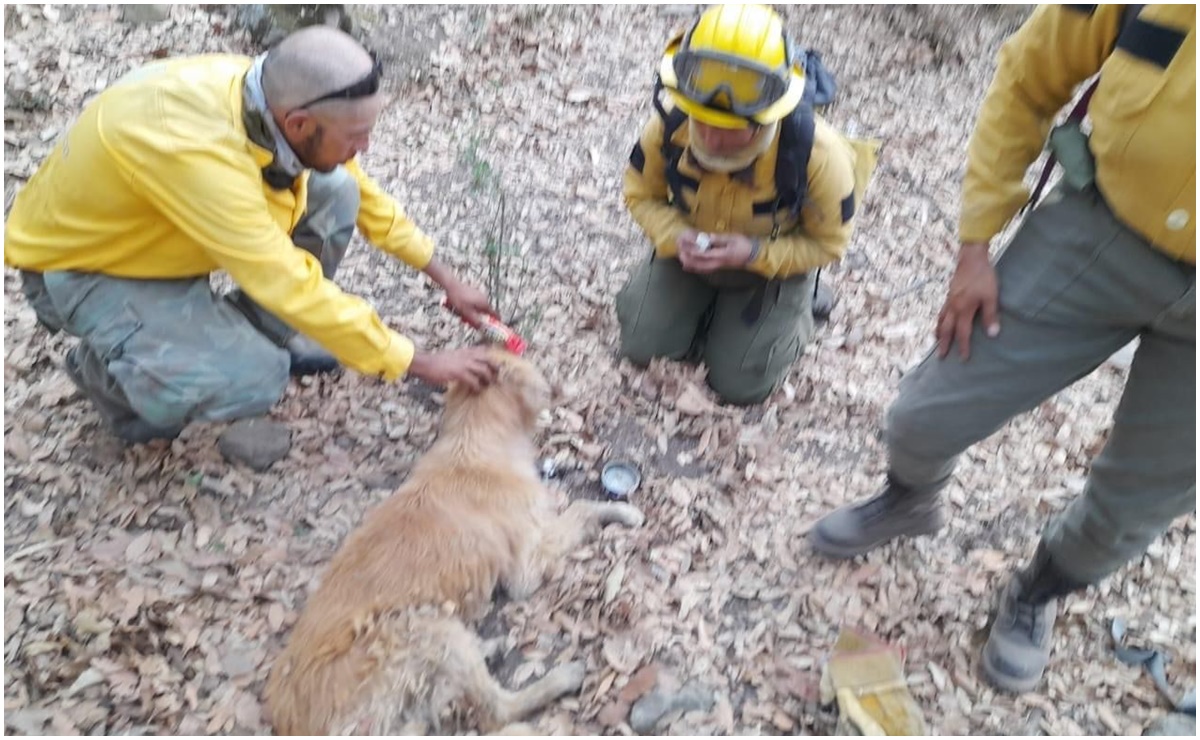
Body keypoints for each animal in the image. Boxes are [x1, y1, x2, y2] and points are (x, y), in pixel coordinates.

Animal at [266, 350, 648, 734]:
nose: (560, 388)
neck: (474, 441)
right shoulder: (524, 569)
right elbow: (579, 509)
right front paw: (624, 513)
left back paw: (487, 647)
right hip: (423, 628)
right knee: (496, 711)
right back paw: (562, 677)